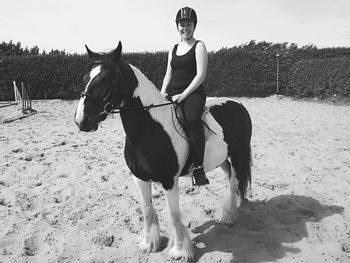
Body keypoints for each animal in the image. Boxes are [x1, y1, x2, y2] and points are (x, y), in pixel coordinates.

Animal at [74, 41, 252, 262]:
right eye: (85, 78)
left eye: (107, 78)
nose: (81, 120)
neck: (150, 129)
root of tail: (238, 105)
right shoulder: (139, 179)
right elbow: (147, 210)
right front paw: (149, 244)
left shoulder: (169, 181)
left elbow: (174, 215)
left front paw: (179, 251)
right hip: (223, 160)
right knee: (231, 182)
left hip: (237, 155)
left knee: (235, 182)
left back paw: (229, 217)